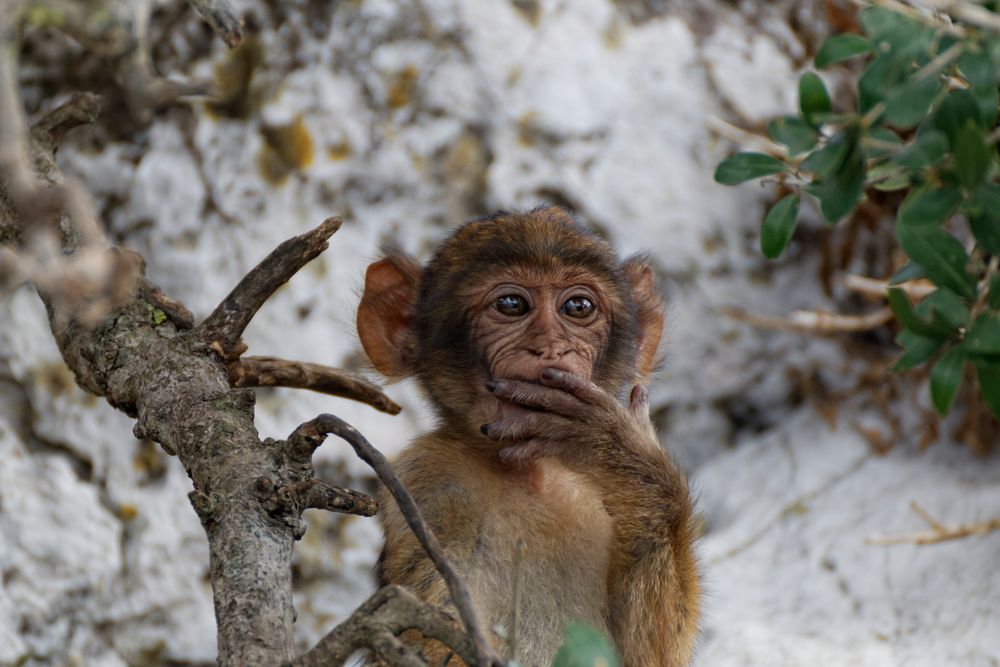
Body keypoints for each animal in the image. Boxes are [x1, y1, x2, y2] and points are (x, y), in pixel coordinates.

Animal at [358, 206, 696, 664]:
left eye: (578, 306)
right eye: (511, 304)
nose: (551, 347)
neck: (530, 473)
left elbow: (651, 656)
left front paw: (620, 453)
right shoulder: (427, 484)